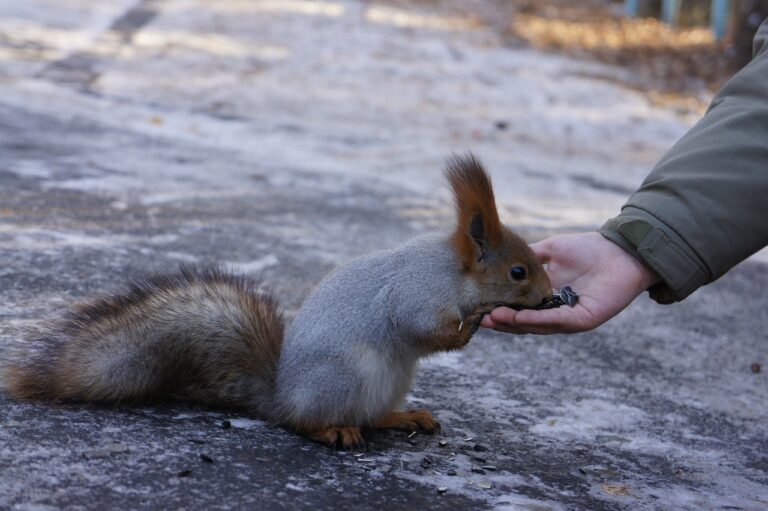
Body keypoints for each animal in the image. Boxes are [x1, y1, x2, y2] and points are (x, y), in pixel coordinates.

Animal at [3, 154, 552, 450]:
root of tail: (282, 396)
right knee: (307, 424)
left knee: (370, 416)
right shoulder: (415, 294)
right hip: (343, 377)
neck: (452, 273)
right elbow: (421, 328)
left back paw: (402, 417)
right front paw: (474, 322)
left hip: (388, 382)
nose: (550, 296)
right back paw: (332, 432)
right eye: (518, 272)